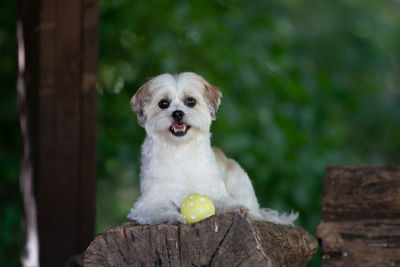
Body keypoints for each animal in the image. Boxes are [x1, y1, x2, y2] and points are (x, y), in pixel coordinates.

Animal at [127, 73, 296, 226]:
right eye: (163, 103)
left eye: (190, 101)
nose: (177, 113)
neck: (180, 151)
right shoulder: (147, 202)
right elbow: (157, 209)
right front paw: (171, 217)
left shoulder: (213, 189)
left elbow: (223, 201)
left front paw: (234, 207)